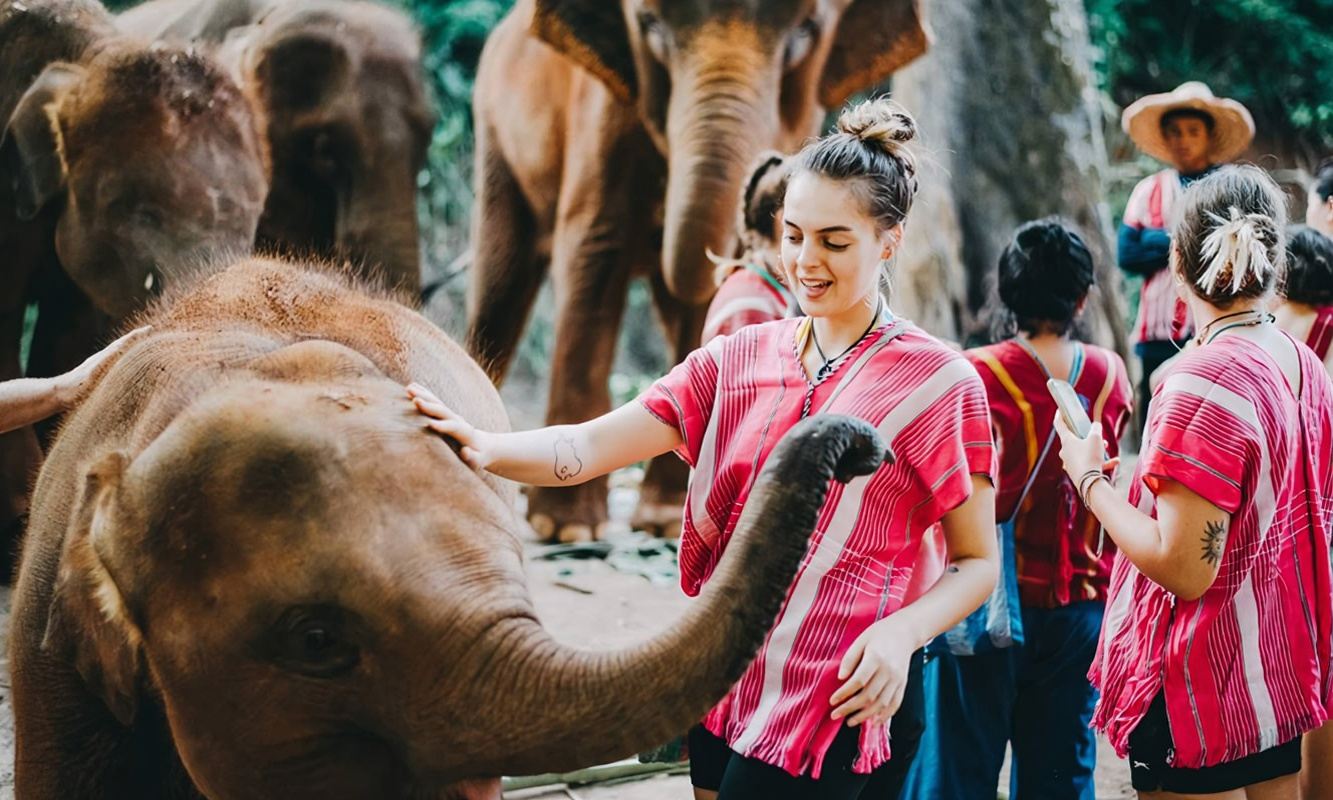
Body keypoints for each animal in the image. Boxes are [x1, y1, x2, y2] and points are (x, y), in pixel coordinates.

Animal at [467, 0, 929, 541]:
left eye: (806, 32)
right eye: (649, 25)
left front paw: (664, 519)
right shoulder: (601, 109)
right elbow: (596, 248)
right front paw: (567, 530)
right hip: (495, 134)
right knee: (503, 281)